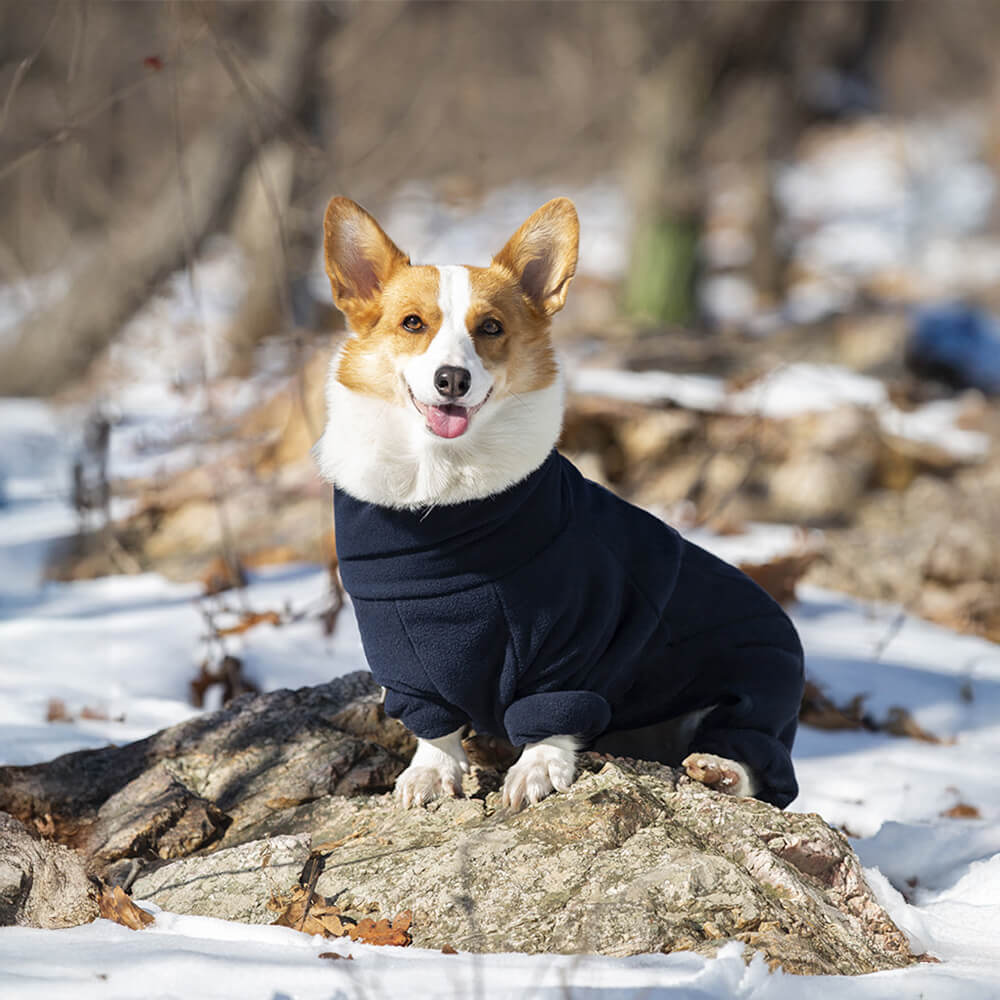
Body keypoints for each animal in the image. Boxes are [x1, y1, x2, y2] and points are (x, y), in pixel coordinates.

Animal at [316, 197, 800, 812]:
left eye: (491, 328)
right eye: (412, 323)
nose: (452, 379)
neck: (444, 488)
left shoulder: (572, 636)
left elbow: (551, 714)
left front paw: (537, 768)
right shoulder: (400, 655)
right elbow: (433, 725)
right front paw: (430, 771)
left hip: (757, 680)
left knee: (759, 763)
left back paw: (720, 770)